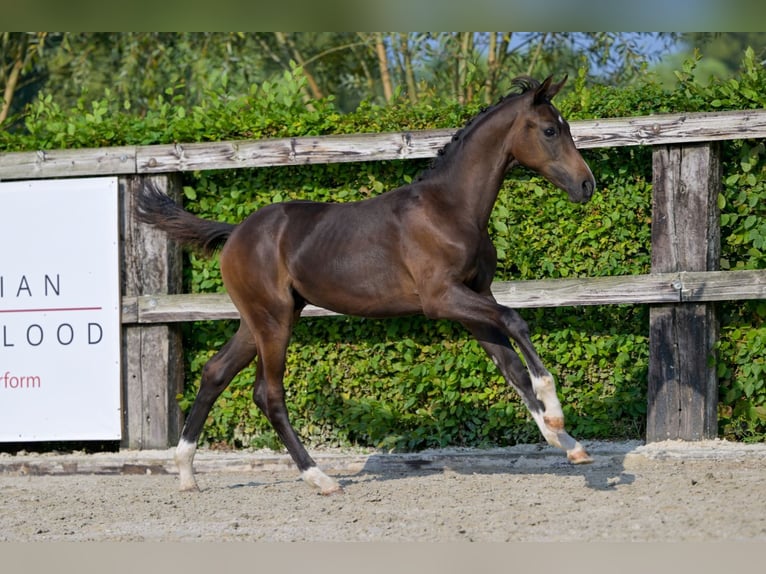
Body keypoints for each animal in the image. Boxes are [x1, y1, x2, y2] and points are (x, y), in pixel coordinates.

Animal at [138, 75, 600, 496]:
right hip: (273, 320)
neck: (450, 209)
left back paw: (186, 473)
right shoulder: (442, 299)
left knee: (216, 372)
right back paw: (320, 478)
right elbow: (516, 322)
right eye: (550, 130)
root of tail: (235, 232)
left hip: (261, 319)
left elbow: (511, 368)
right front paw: (556, 413)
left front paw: (568, 443)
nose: (587, 185)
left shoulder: (474, 299)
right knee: (268, 393)